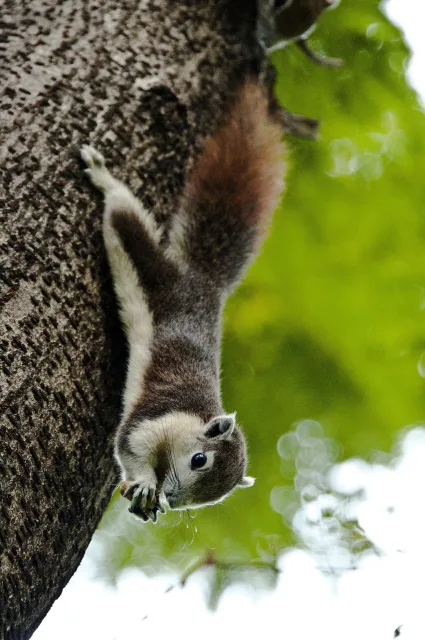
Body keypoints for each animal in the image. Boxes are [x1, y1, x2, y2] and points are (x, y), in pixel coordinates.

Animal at [80, 79, 286, 522]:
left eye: (214, 499)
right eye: (199, 460)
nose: (173, 498)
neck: (194, 415)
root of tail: (204, 283)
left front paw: (151, 498)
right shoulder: (153, 418)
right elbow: (130, 446)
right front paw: (144, 482)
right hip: (154, 270)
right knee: (123, 214)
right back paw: (103, 177)